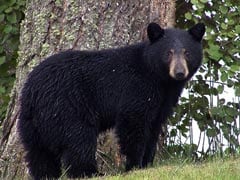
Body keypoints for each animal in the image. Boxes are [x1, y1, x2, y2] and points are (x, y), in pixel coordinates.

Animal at [18, 22, 204, 179]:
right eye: (168, 53)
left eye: (187, 52)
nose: (179, 72)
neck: (159, 78)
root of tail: (32, 91)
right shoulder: (136, 88)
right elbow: (133, 123)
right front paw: (134, 166)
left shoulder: (163, 101)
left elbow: (154, 127)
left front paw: (148, 164)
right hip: (67, 107)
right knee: (78, 140)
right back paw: (91, 173)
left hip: (32, 123)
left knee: (38, 153)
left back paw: (46, 175)